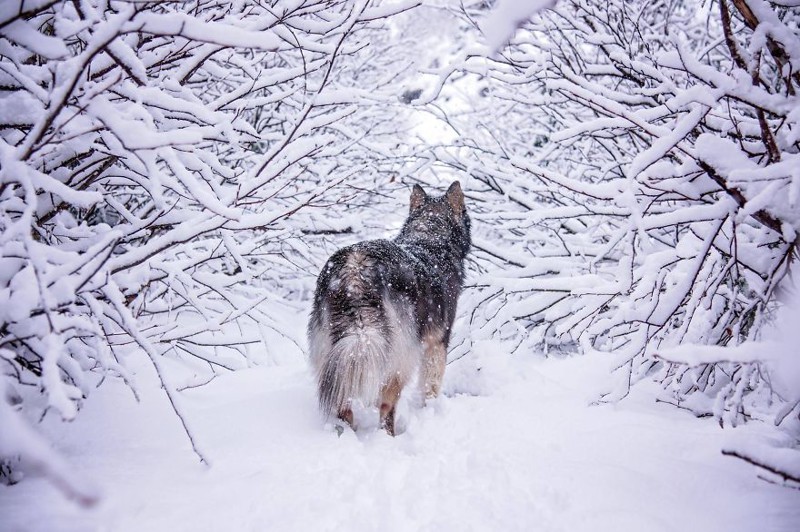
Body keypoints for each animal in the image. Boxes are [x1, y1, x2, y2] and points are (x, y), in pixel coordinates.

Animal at [306, 181, 468, 434]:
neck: (430, 238)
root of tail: (354, 271)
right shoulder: (437, 343)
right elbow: (430, 386)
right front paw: (430, 409)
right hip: (401, 357)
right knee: (386, 405)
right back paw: (388, 435)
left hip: (336, 354)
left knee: (343, 404)